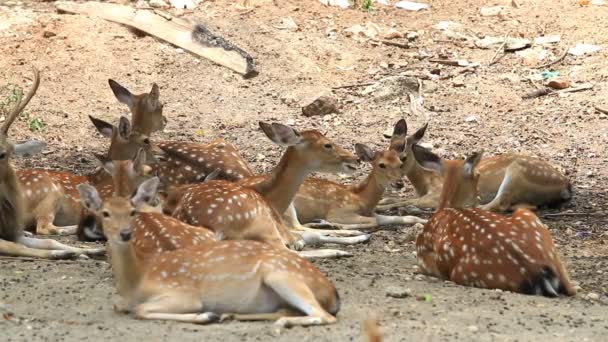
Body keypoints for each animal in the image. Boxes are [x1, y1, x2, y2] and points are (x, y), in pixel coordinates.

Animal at [77, 178, 342, 328]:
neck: (137, 280)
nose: (124, 233)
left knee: (322, 315)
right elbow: (124, 307)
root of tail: (333, 293)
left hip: (281, 276)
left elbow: (141, 311)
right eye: (105, 213)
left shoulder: (185, 295)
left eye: (131, 212)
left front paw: (206, 315)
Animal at [376, 119, 568, 211]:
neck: (424, 183)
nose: (398, 183)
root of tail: (566, 186)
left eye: (403, 158)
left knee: (499, 203)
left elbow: (407, 201)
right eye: (385, 154)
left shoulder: (436, 194)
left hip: (516, 174)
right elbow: (395, 198)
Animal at [414, 150, 576, 296]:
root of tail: (537, 273)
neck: (445, 209)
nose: (478, 197)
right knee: (572, 288)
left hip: (462, 273)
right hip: (529, 218)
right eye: (478, 175)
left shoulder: (424, 259)